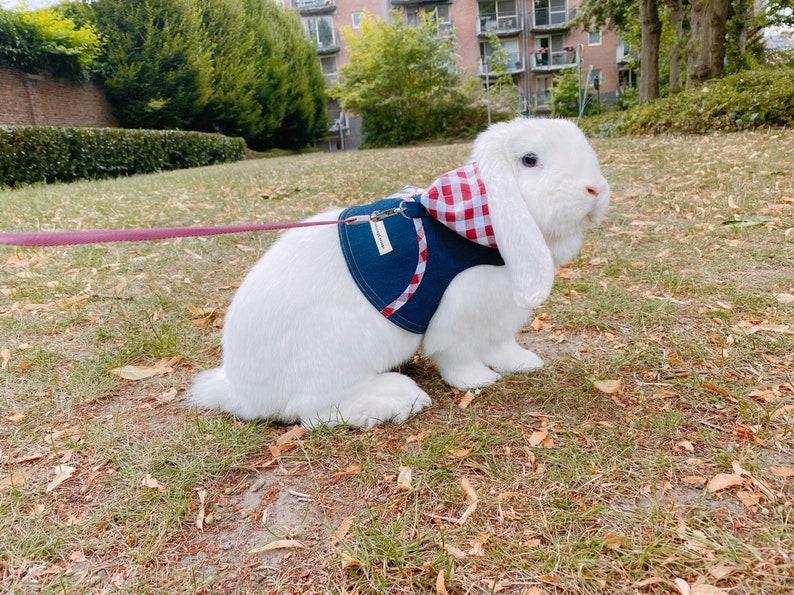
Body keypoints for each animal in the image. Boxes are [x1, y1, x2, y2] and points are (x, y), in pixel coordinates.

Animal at [189, 117, 610, 429]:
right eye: (529, 159)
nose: (596, 190)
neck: (481, 218)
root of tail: (242, 392)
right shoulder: (456, 312)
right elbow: (457, 355)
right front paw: (477, 380)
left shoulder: (501, 316)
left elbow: (500, 345)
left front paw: (522, 363)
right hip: (339, 357)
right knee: (312, 413)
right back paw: (400, 398)